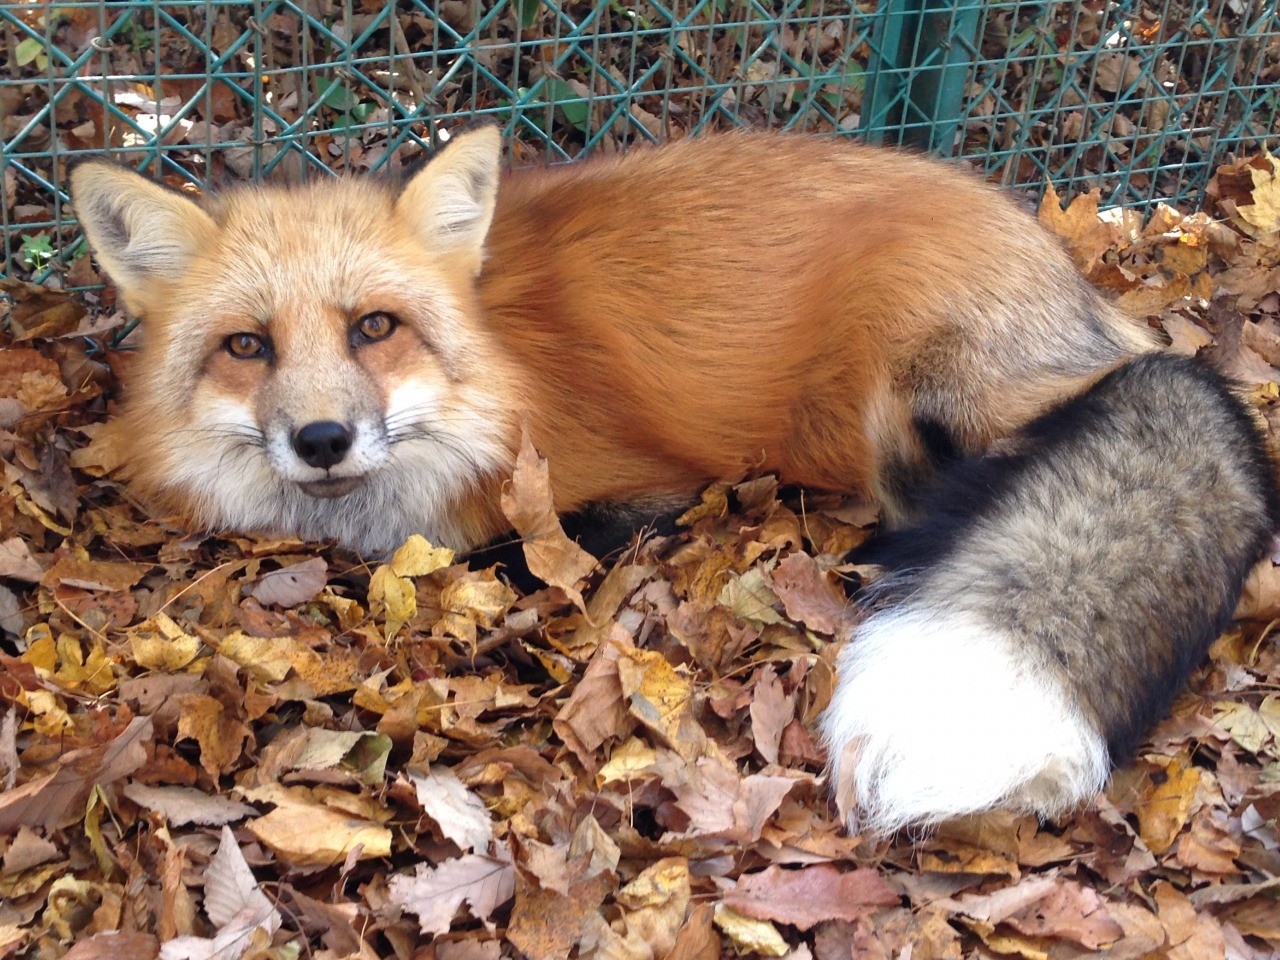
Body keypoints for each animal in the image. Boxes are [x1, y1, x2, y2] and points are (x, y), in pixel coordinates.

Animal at [72, 126, 1280, 834]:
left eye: (375, 327)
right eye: (246, 347)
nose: (322, 438)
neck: (498, 364)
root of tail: (1079, 289)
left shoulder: (637, 491)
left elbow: (513, 555)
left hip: (917, 395)